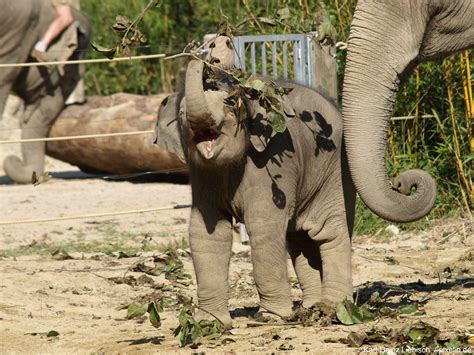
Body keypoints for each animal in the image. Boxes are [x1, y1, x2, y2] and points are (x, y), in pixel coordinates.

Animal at [156, 59, 356, 330]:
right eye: (181, 113)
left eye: (230, 103)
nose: (202, 57)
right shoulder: (202, 175)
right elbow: (206, 232)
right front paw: (209, 323)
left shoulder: (271, 164)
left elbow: (263, 226)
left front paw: (271, 317)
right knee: (299, 239)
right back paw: (310, 307)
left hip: (336, 171)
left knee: (329, 232)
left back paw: (334, 308)